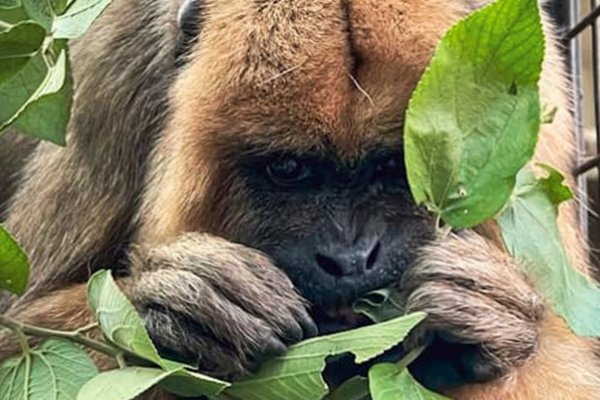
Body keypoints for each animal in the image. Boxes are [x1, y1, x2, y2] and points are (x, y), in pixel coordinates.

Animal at [1, 0, 600, 398]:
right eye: (289, 168)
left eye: (394, 166)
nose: (349, 258)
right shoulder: (111, 76)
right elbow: (19, 321)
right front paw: (182, 303)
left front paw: (493, 312)